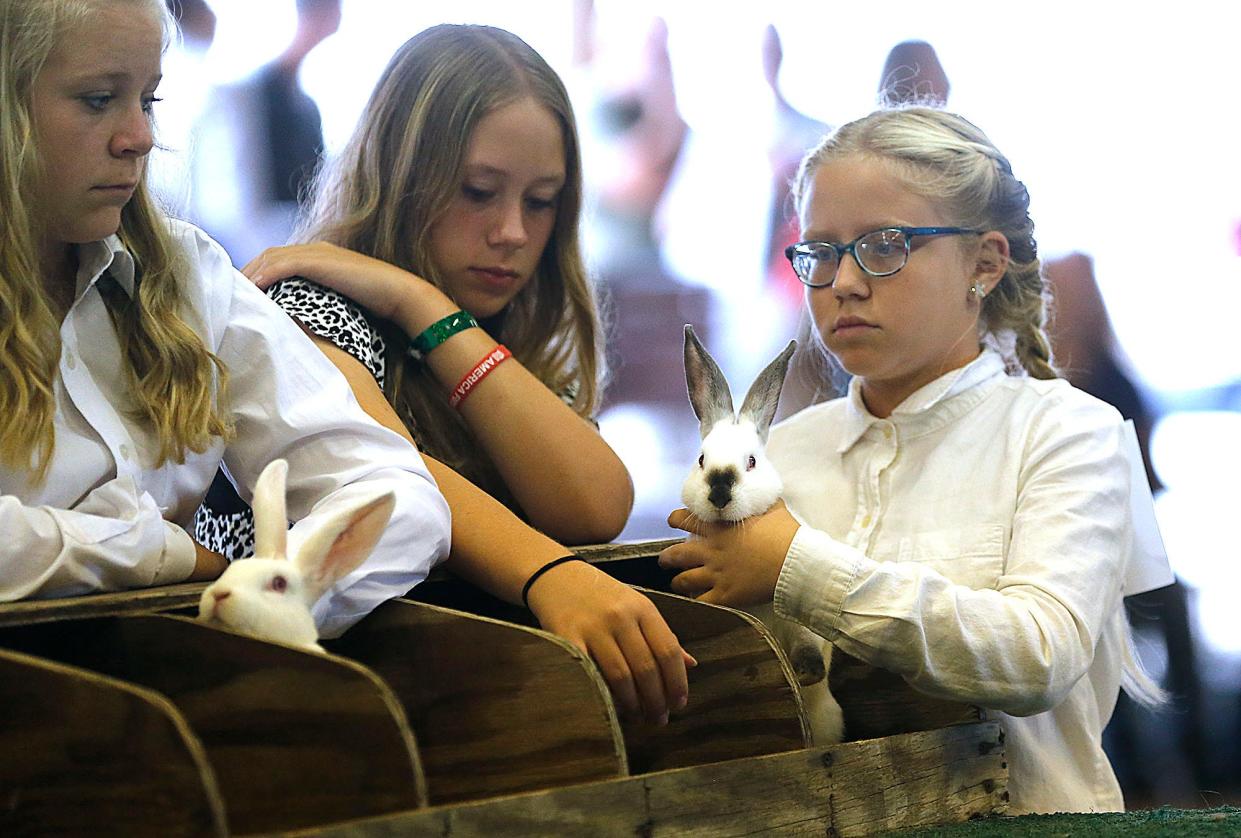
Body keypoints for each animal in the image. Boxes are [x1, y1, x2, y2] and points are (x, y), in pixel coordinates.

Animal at [680, 325, 843, 749]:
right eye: (701, 461)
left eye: (751, 462)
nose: (720, 494)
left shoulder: (799, 622)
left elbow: (808, 647)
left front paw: (804, 675)